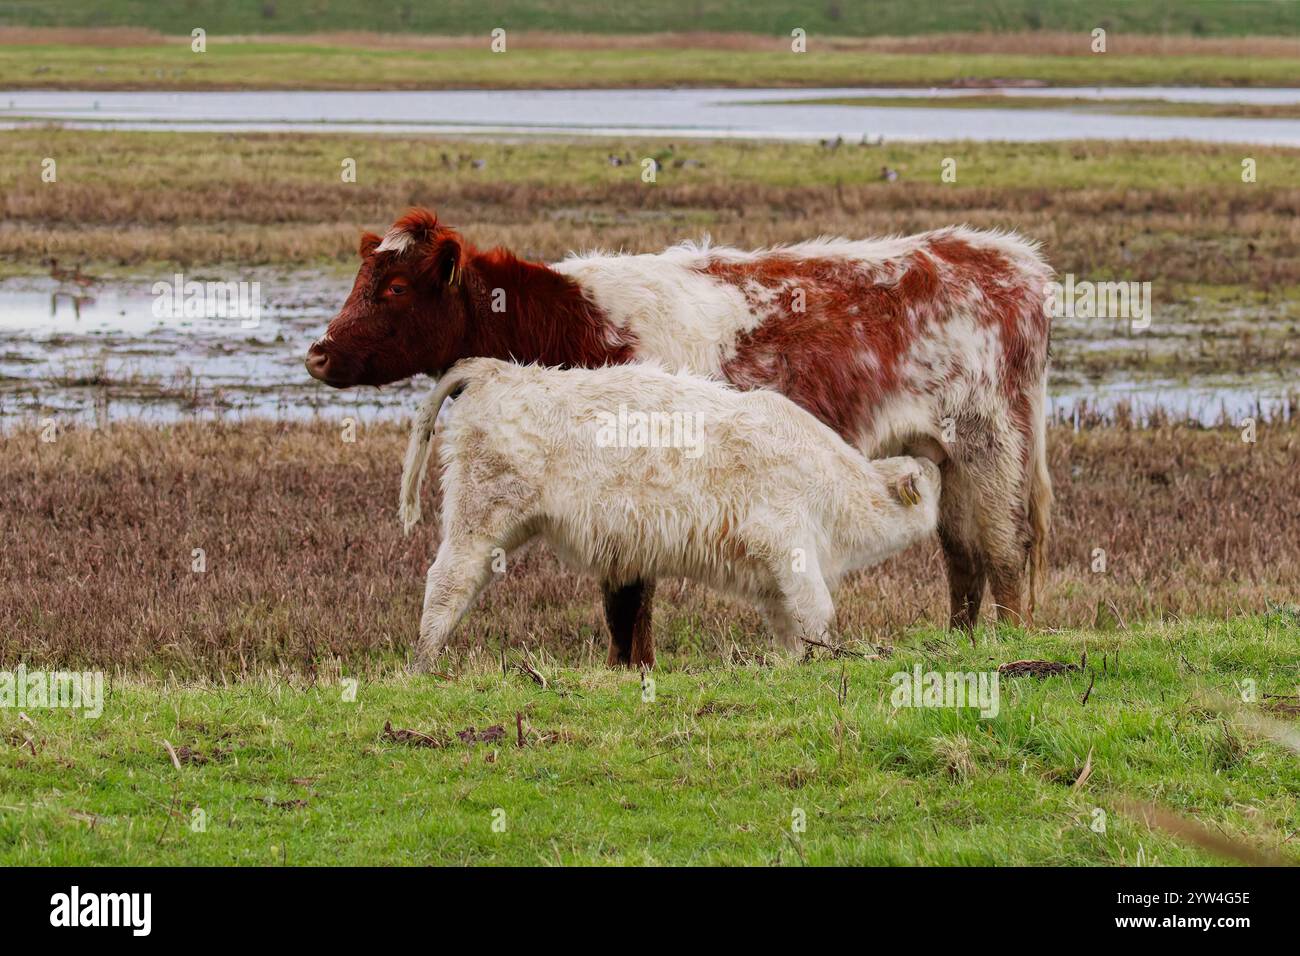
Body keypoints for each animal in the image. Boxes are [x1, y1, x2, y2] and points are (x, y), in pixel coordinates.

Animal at [397, 358, 941, 668]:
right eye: (930, 477)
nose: (939, 469)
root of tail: (499, 371)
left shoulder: (770, 575)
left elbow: (790, 623)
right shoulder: (787, 540)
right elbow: (818, 612)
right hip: (479, 518)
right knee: (447, 580)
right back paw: (424, 660)